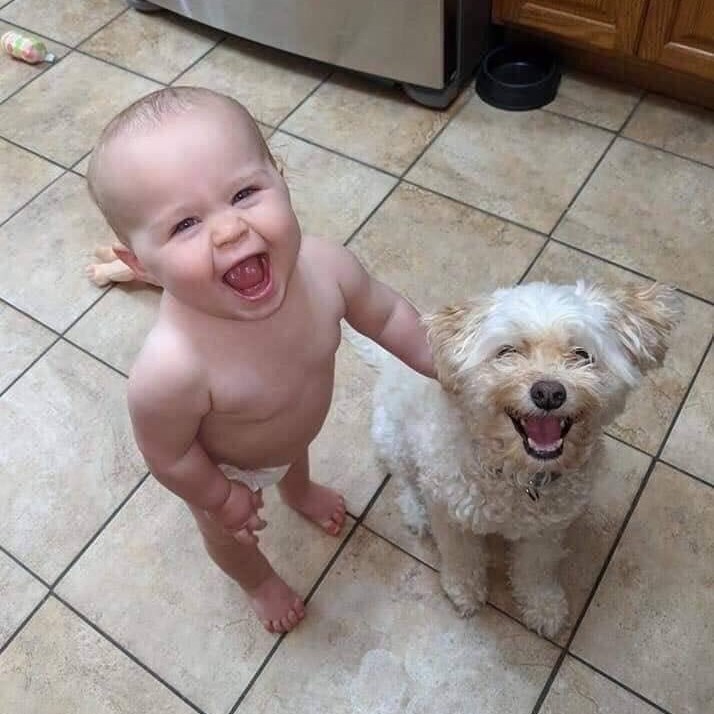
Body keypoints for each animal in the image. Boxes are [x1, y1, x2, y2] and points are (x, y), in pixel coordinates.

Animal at [356, 281, 678, 637]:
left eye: (582, 354)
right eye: (507, 352)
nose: (549, 393)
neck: (518, 474)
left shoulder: (546, 530)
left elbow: (536, 568)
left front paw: (543, 606)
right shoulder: (450, 514)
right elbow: (461, 556)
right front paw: (464, 589)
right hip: (393, 440)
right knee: (405, 482)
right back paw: (416, 511)